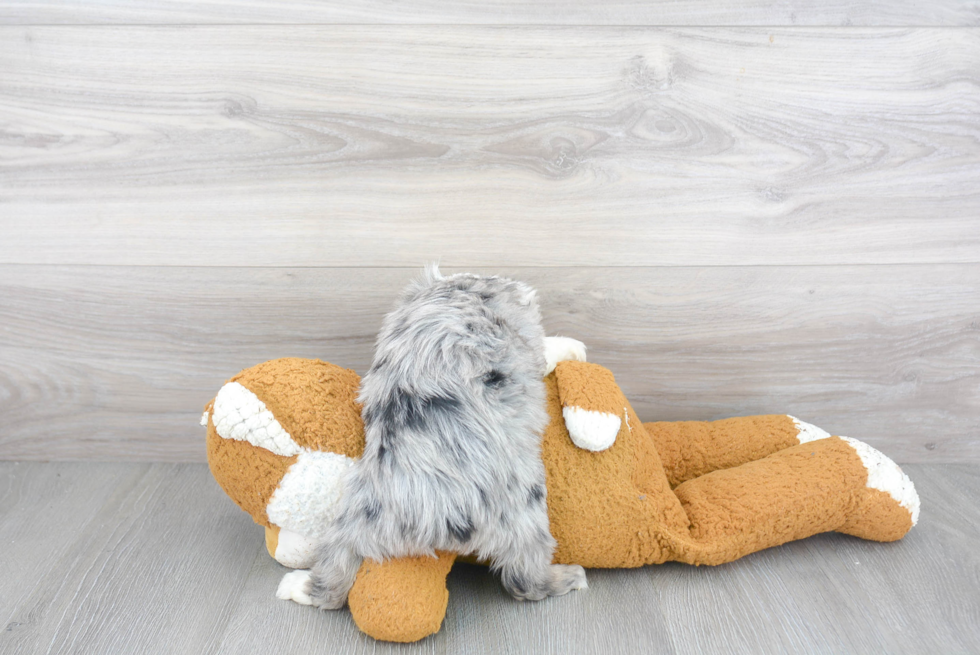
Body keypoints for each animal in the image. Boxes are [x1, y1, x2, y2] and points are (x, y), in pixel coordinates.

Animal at [276, 266, 584, 608]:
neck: (459, 292)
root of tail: (426, 516)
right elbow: (546, 349)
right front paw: (573, 346)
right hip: (525, 513)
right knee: (525, 582)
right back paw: (571, 577)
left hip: (349, 518)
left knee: (331, 580)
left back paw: (295, 585)